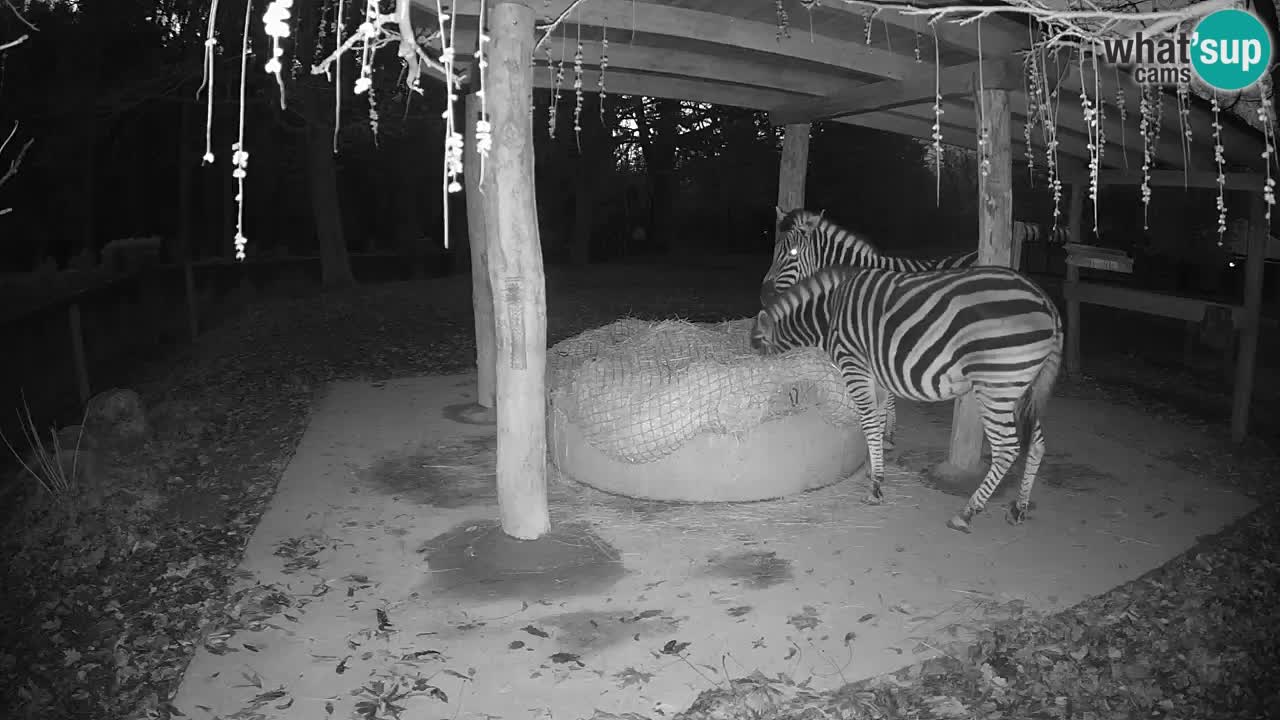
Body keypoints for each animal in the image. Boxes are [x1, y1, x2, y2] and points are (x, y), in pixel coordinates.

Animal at [747, 263, 1059, 532]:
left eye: (762, 352)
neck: (828, 314)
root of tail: (1047, 301)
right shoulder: (876, 376)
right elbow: (878, 421)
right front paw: (873, 470)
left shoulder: (854, 365)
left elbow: (869, 424)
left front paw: (875, 487)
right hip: (1021, 389)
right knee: (1037, 444)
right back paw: (1019, 508)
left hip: (996, 387)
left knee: (1008, 449)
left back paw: (967, 512)